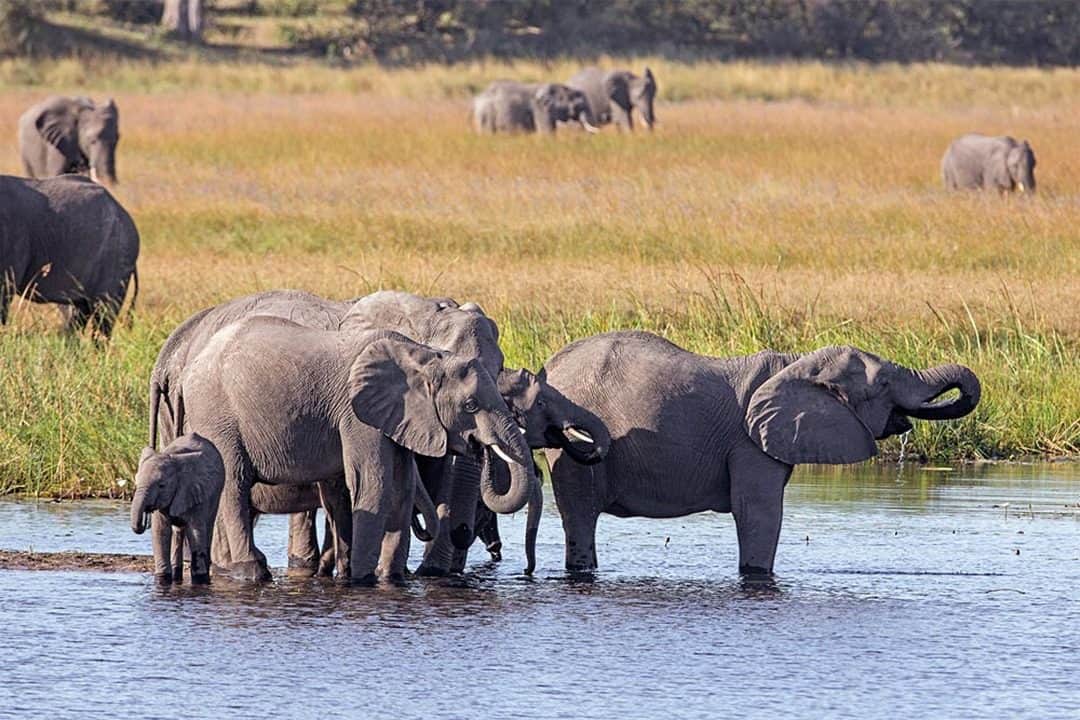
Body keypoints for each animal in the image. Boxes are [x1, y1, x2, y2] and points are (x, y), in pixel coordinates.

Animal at [131, 433, 224, 585]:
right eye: (136, 481)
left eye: (162, 485)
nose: (147, 512)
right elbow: (160, 530)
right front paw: (163, 579)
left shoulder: (196, 491)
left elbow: (196, 532)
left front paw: (200, 580)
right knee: (178, 531)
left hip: (216, 493)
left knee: (207, 528)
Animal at [177, 316, 537, 584]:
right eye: (471, 405)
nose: (483, 449)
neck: (423, 356)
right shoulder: (357, 414)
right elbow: (374, 486)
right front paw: (361, 579)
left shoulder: (396, 417)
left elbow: (401, 490)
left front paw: (390, 578)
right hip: (215, 413)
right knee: (234, 485)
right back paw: (251, 571)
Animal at [541, 332, 981, 576]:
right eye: (884, 383)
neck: (797, 365)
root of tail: (550, 366)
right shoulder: (749, 444)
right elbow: (758, 512)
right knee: (580, 514)